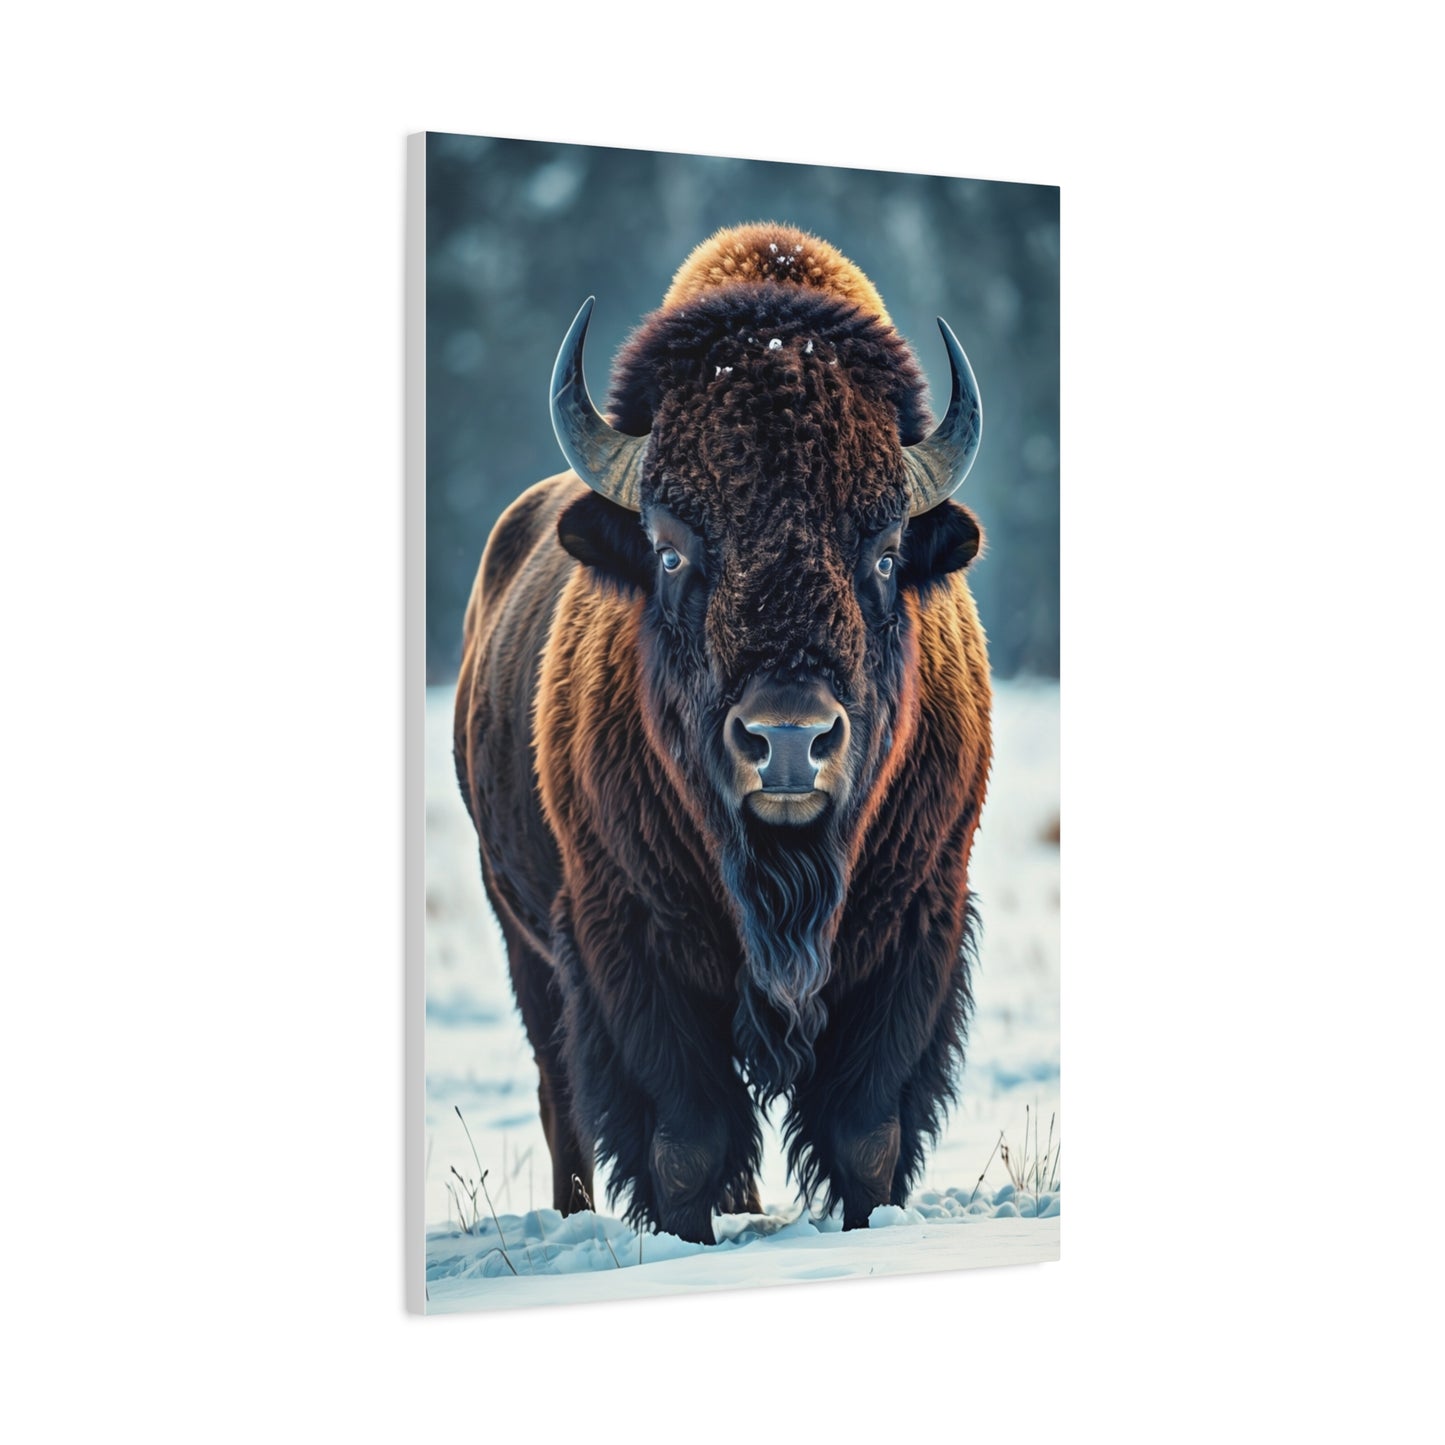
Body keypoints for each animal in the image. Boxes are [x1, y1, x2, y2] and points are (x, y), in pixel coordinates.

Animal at [454, 224, 991, 1243]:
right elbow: (684, 1138)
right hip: (519, 934)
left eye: (885, 551)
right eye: (670, 550)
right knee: (559, 1090)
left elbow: (865, 1133)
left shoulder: (915, 925)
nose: (787, 740)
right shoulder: (624, 935)